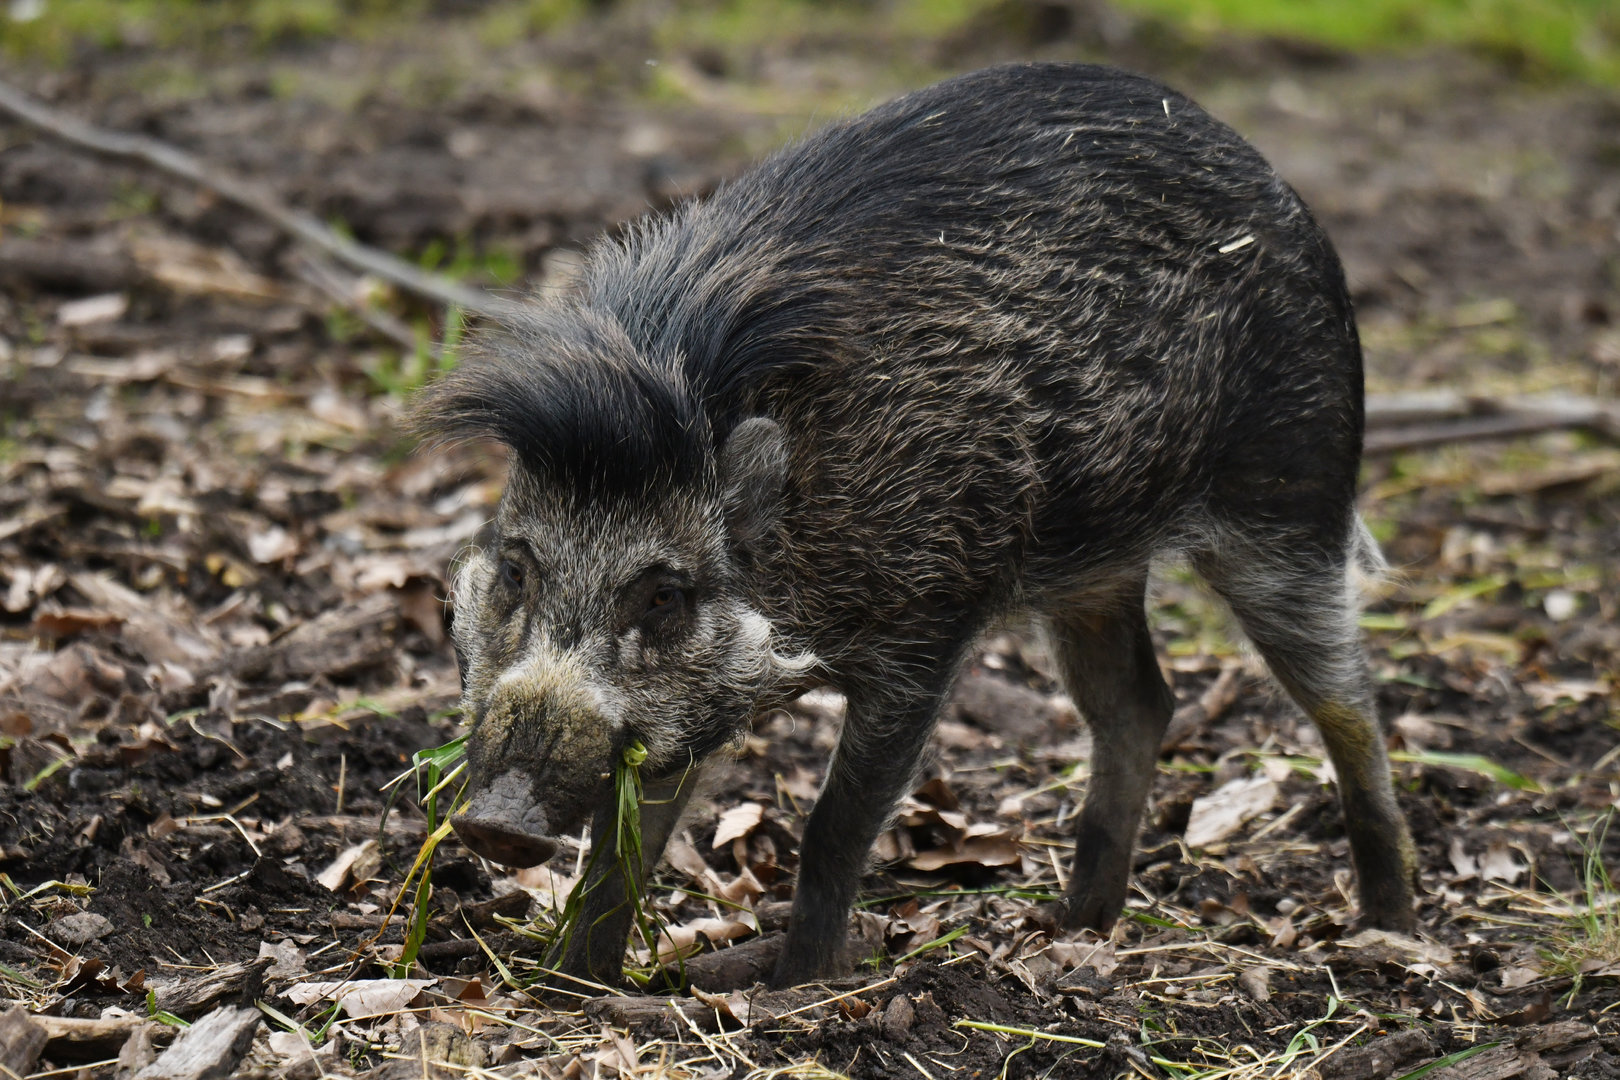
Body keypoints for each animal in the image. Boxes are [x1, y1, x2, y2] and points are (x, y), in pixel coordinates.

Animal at [416, 62, 1419, 989]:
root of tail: (1269, 177)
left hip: (1291, 501)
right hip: (1096, 567)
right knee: (1140, 702)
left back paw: (1388, 927)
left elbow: (834, 826)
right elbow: (625, 844)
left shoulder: (927, 626)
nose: (495, 824)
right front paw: (571, 985)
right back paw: (1078, 926)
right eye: (517, 571)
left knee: (1349, 703)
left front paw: (797, 986)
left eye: (665, 594)